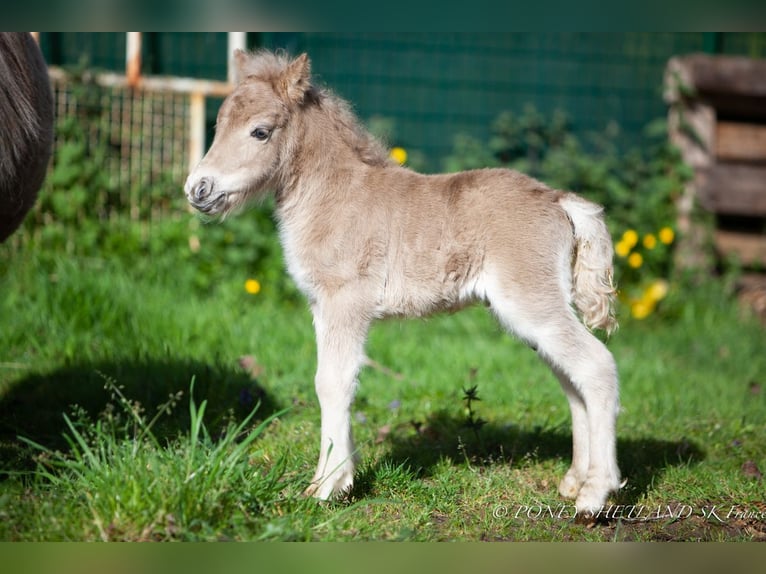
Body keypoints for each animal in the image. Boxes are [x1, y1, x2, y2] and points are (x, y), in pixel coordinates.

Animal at [186, 50, 624, 516]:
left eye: (260, 131)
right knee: (573, 382)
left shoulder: (346, 303)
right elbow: (332, 380)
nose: (197, 189)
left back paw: (595, 496)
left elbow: (334, 383)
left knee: (596, 365)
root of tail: (559, 200)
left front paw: (328, 487)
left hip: (531, 302)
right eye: (217, 125)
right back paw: (575, 482)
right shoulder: (322, 307)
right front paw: (335, 480)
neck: (334, 198)